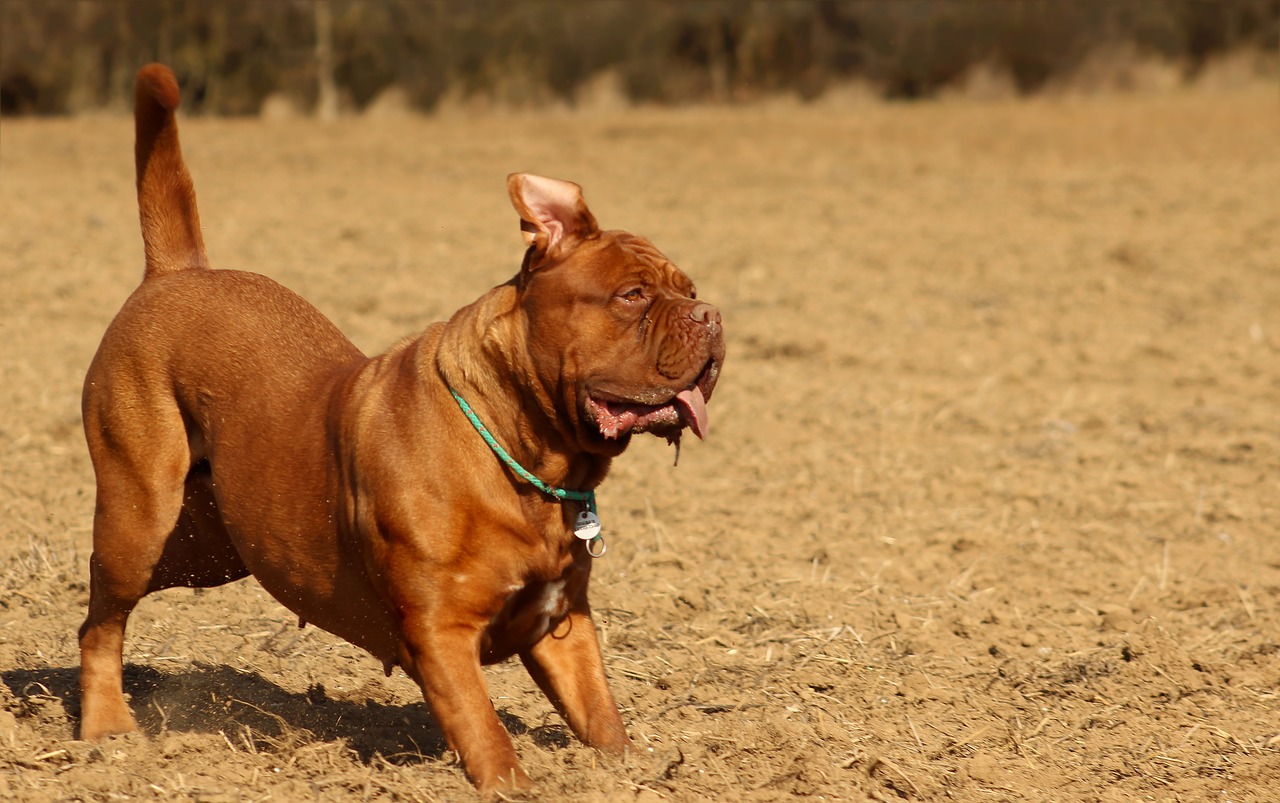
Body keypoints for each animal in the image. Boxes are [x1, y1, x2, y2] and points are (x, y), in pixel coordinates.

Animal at [77, 65, 721, 794]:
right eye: (633, 296)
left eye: (687, 287)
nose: (710, 314)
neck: (527, 456)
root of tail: (179, 272)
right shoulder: (441, 633)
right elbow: (484, 730)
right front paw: (510, 786)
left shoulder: (561, 621)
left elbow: (600, 712)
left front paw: (631, 772)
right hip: (140, 515)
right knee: (102, 618)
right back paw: (106, 730)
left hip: (213, 546)